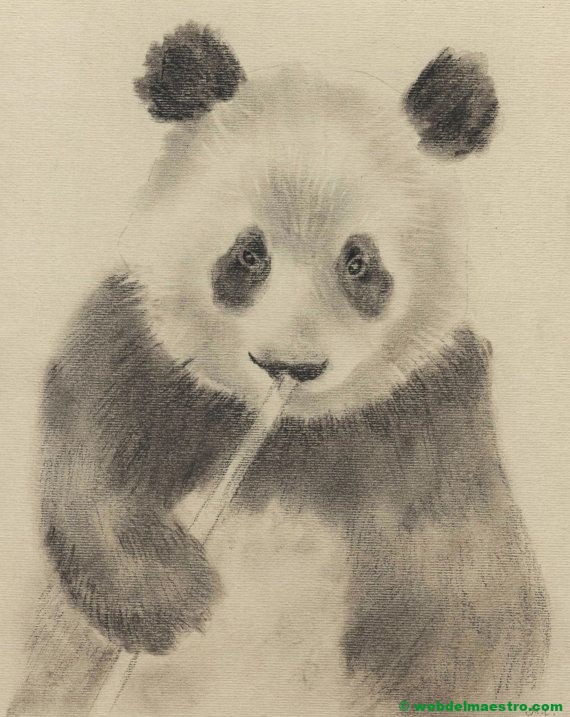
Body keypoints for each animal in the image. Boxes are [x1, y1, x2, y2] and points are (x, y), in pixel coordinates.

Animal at [9, 21, 549, 717]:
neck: (291, 434)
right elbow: (88, 465)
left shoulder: (432, 411)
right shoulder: (143, 356)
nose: (291, 366)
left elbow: (467, 578)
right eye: (248, 255)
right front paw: (174, 601)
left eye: (359, 262)